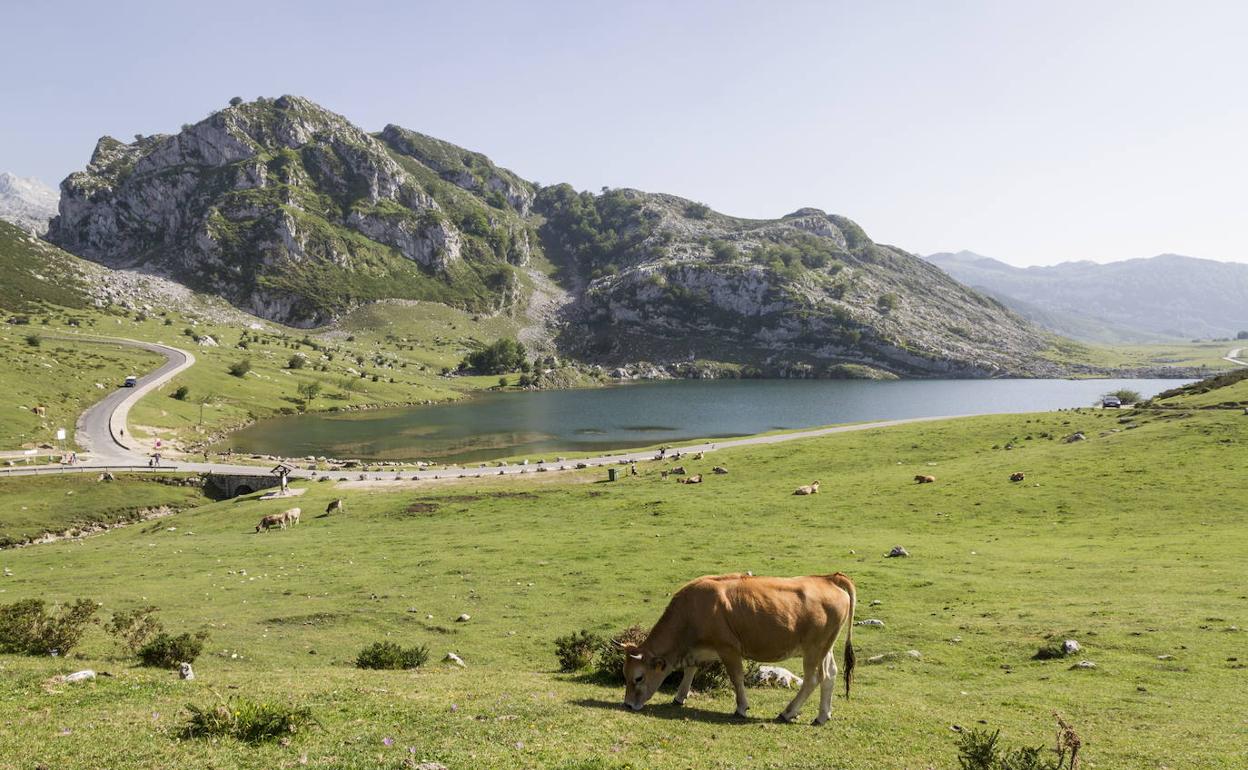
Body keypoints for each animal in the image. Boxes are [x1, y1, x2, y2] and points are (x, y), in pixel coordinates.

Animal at [616, 571, 853, 728]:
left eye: (638, 677)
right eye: (624, 674)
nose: (628, 705)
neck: (691, 610)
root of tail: (827, 578)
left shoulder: (728, 648)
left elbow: (736, 677)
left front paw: (741, 708)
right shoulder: (698, 649)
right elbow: (691, 669)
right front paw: (679, 697)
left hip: (814, 649)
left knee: (813, 679)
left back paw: (788, 713)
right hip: (825, 648)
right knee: (830, 675)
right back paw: (822, 716)